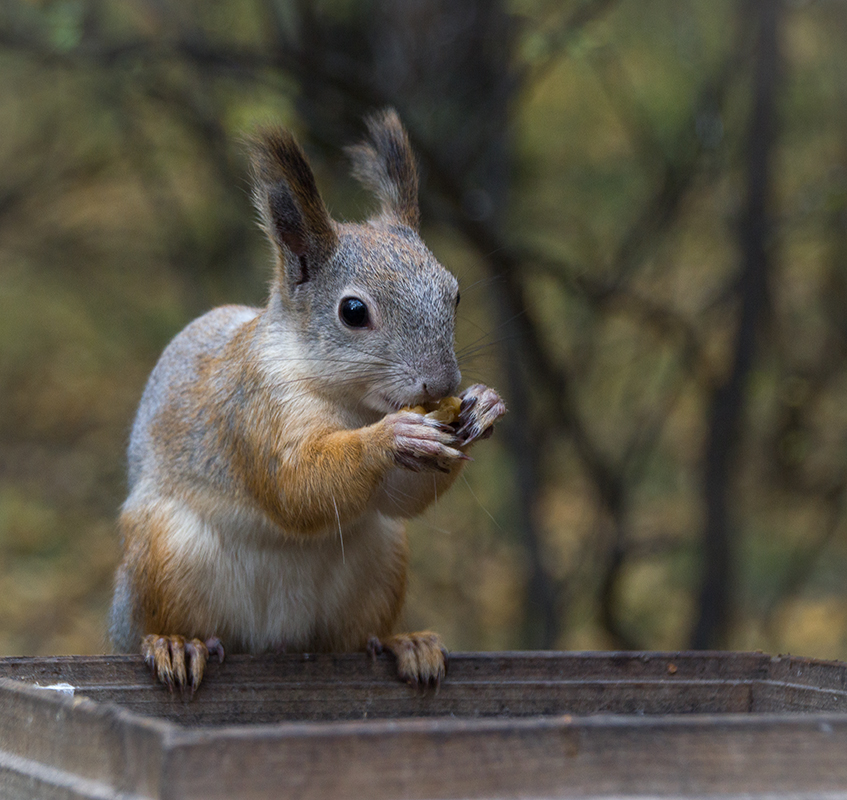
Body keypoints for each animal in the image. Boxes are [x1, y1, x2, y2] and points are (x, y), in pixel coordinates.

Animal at [105, 109, 504, 696]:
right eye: (353, 312)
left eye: (454, 294)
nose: (441, 383)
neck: (351, 401)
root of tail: (274, 643)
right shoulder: (254, 406)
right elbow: (296, 484)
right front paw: (393, 437)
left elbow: (399, 499)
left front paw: (485, 403)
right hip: (164, 554)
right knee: (163, 623)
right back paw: (175, 645)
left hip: (382, 561)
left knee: (352, 637)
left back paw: (403, 643)